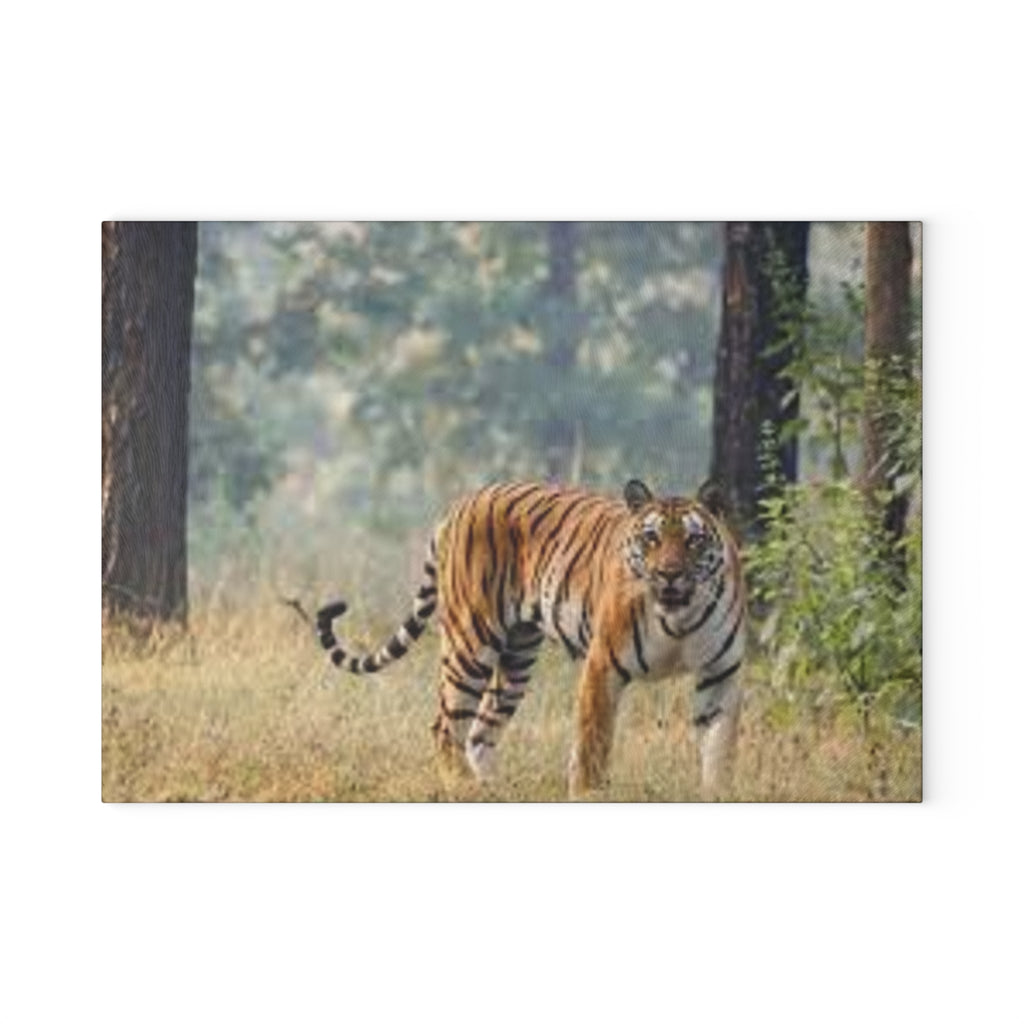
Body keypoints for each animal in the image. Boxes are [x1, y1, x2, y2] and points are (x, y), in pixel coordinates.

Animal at [316, 479, 746, 798]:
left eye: (693, 540)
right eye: (651, 538)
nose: (669, 574)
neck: (678, 619)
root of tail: (463, 501)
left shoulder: (720, 674)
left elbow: (719, 749)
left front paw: (717, 795)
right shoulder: (603, 665)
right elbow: (592, 745)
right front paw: (588, 796)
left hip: (517, 657)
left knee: (480, 731)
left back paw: (493, 790)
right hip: (470, 641)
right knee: (445, 725)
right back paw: (464, 788)